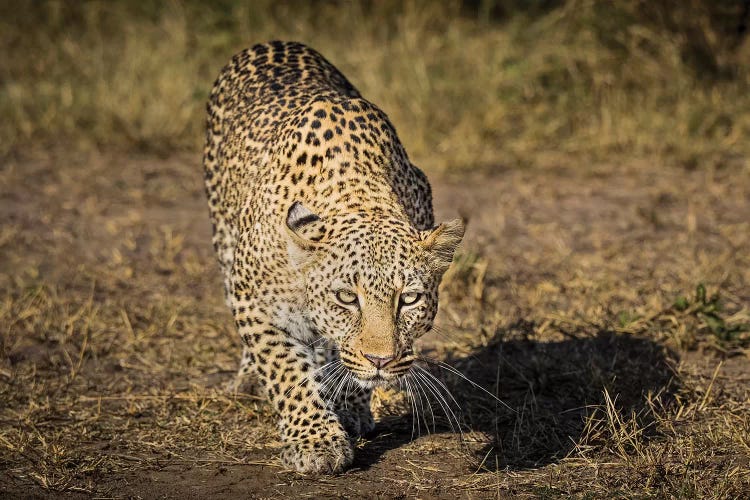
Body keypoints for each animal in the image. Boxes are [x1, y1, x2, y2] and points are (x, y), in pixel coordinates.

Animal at [204, 40, 464, 472]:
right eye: (346, 297)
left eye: (408, 299)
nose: (380, 360)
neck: (360, 195)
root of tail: (275, 42)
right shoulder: (254, 301)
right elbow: (285, 370)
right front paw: (315, 442)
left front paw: (351, 407)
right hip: (223, 236)